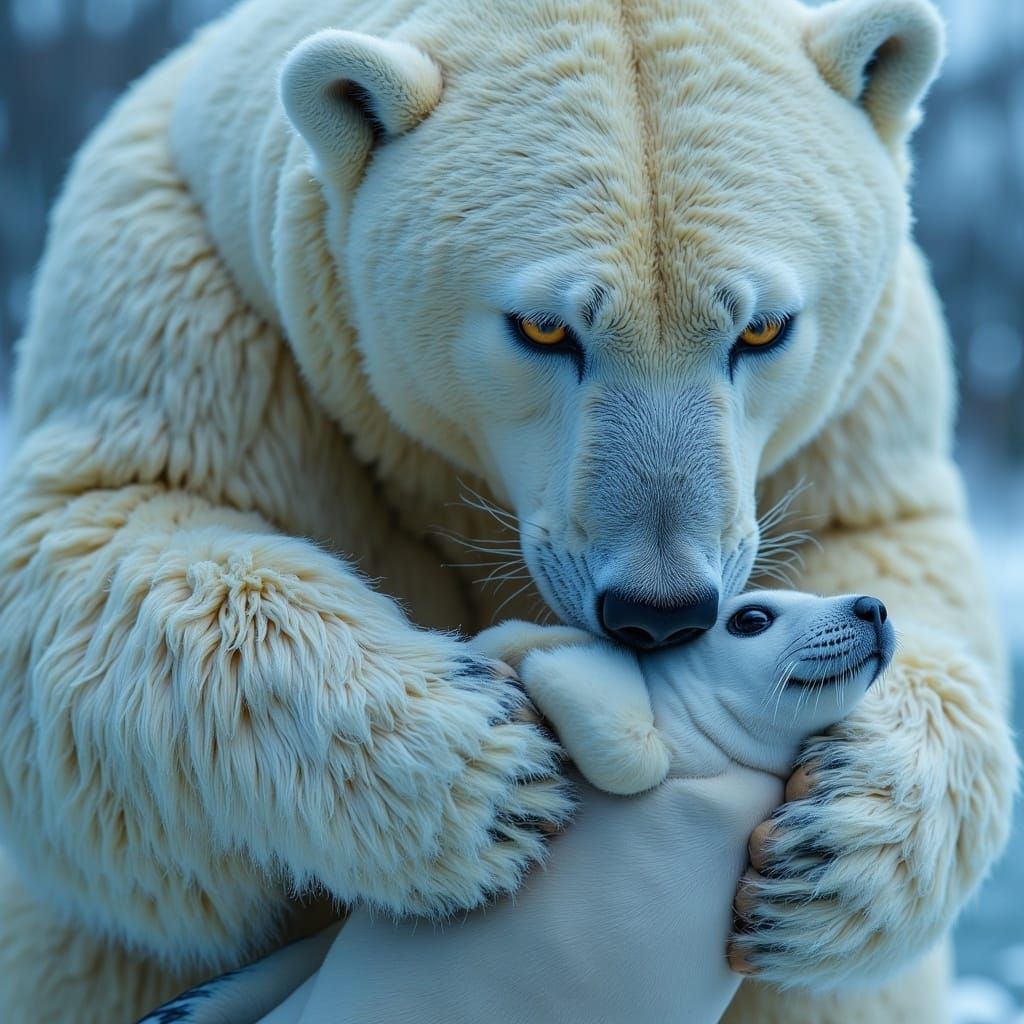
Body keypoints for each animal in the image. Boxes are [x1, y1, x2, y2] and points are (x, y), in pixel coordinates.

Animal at [0, 0, 1016, 1022]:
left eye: (764, 327)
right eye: (543, 327)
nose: (660, 612)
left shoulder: (865, 387)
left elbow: (888, 542)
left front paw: (834, 840)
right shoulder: (196, 286)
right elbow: (98, 543)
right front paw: (480, 770)